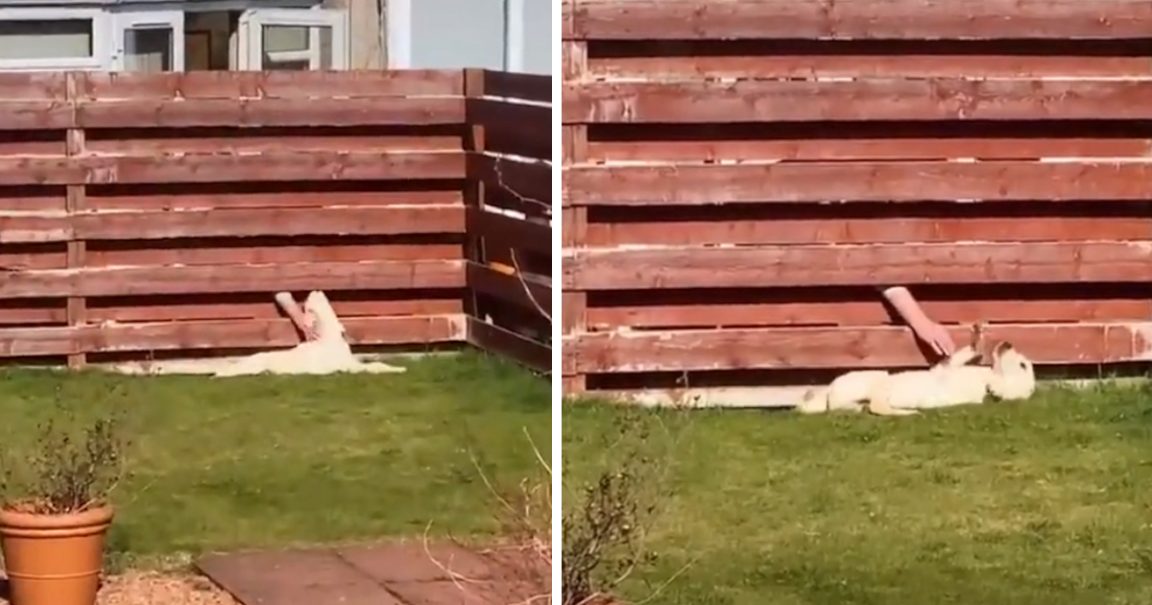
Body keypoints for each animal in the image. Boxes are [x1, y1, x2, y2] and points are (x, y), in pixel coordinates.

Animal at [801, 338, 1036, 414]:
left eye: (1023, 365)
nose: (1008, 343)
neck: (986, 381)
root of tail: (831, 395)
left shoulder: (945, 373)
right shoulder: (947, 368)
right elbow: (961, 355)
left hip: (879, 380)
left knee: (877, 407)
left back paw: (907, 413)